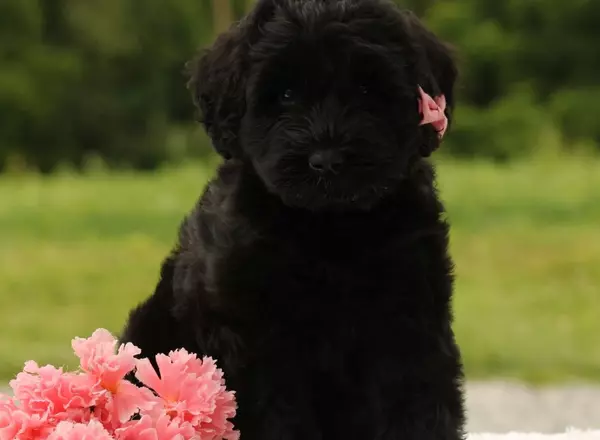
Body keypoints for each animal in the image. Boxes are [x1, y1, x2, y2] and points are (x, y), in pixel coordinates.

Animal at [122, 0, 466, 440]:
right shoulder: (257, 342)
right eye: (286, 95)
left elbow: (418, 402)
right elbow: (275, 413)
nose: (328, 160)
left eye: (367, 90)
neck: (329, 230)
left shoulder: (410, 318)